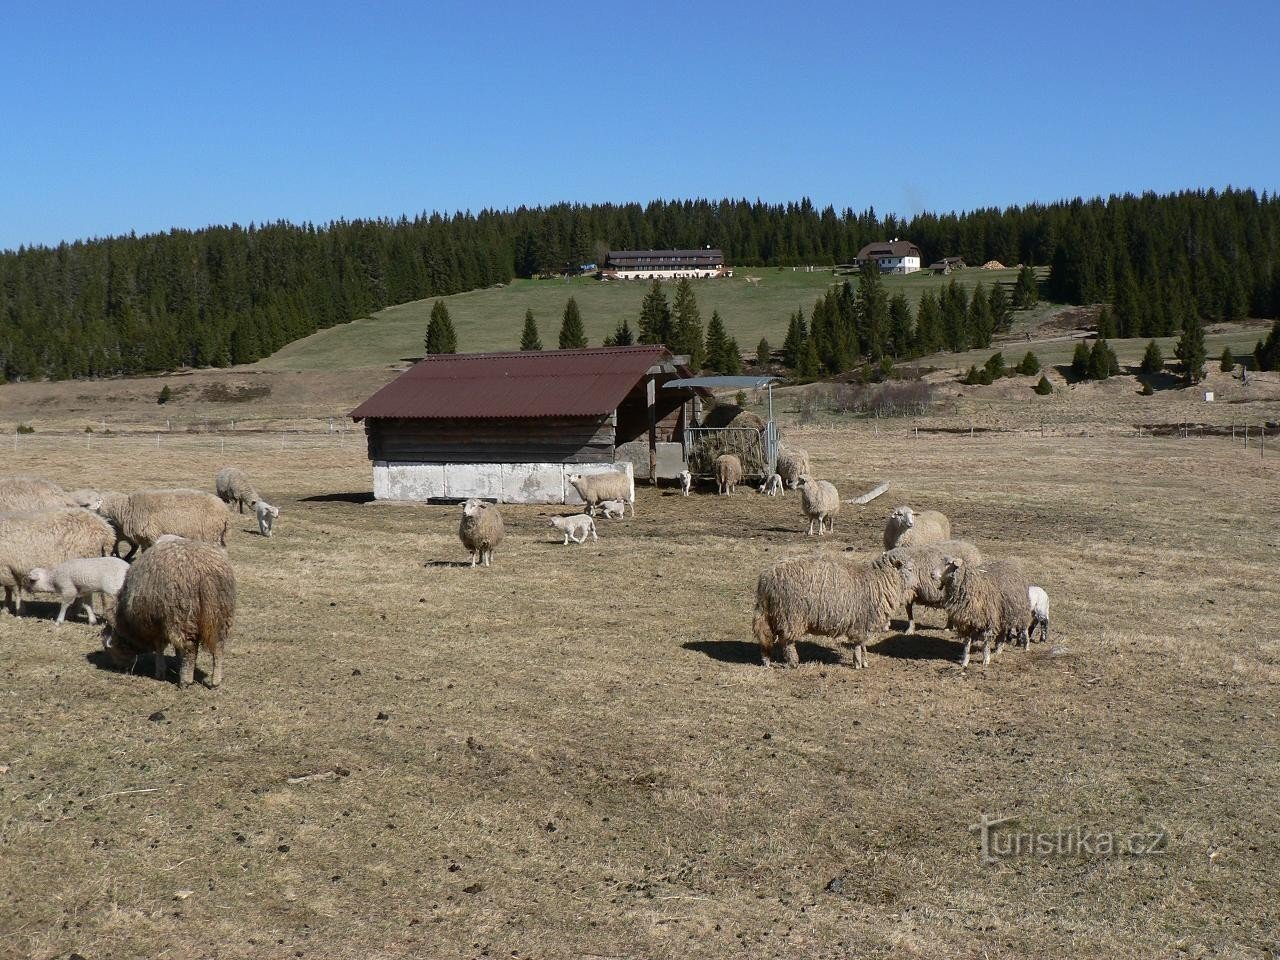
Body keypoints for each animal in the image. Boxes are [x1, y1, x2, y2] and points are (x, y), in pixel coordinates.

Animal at [101, 542, 236, 691]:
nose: (118, 668)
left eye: (110, 649)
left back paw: (185, 681)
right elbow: (177, 649)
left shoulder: (156, 625)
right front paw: (179, 665)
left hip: (183, 615)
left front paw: (160, 673)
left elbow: (160, 648)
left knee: (190, 649)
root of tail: (205, 571)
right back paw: (215, 681)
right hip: (221, 616)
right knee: (218, 648)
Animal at [752, 552, 916, 670]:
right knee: (786, 641)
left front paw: (864, 661)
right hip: (791, 615)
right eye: (909, 569)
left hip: (773, 614)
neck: (879, 580)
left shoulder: (864, 622)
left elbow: (863, 643)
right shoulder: (861, 621)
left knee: (766, 637)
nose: (916, 586)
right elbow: (858, 643)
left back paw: (766, 660)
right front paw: (858, 663)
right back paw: (793, 662)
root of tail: (766, 579)